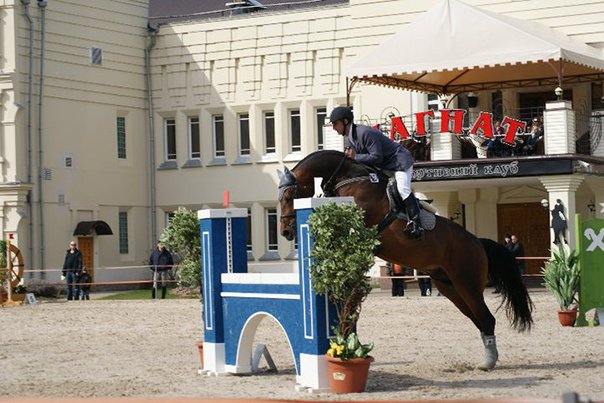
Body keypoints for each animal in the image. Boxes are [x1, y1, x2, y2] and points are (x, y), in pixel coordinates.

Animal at [278, 150, 533, 370]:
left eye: (290, 196)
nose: (286, 232)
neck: (347, 178)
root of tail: (478, 243)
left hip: (467, 284)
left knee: (487, 319)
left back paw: (488, 363)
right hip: (448, 286)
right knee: (478, 319)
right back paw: (488, 358)